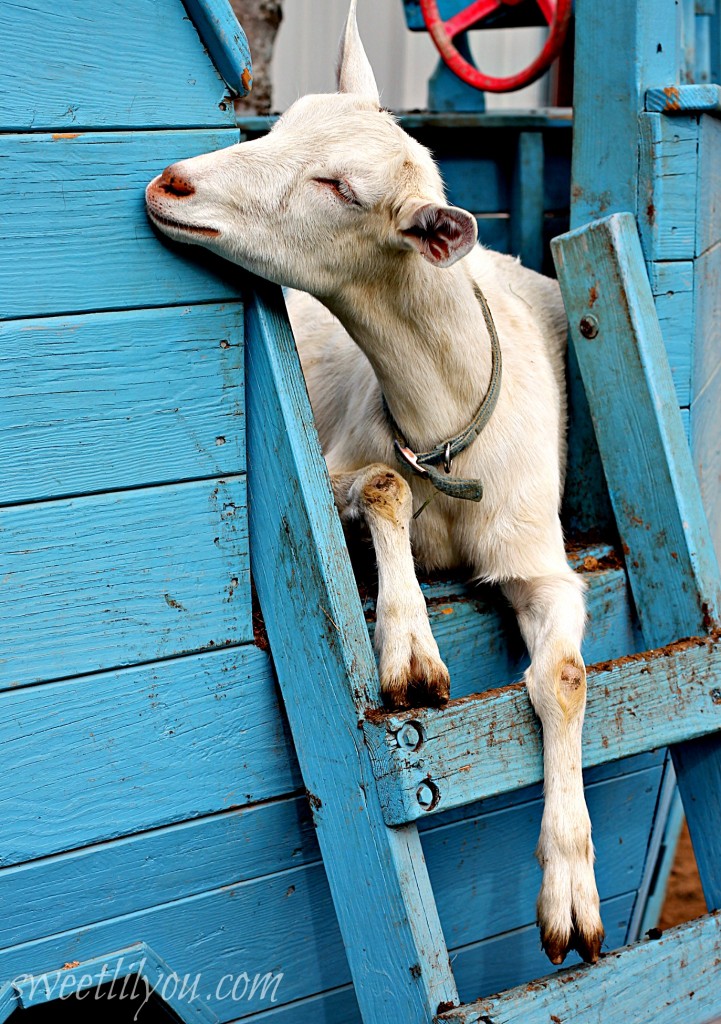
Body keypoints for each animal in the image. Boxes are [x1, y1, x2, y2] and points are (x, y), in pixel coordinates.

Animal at [145, 0, 603, 966]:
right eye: (282, 124)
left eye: (340, 190)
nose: (172, 183)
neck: (448, 438)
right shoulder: (339, 462)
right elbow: (384, 486)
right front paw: (410, 652)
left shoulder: (541, 561)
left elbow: (567, 677)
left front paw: (572, 897)